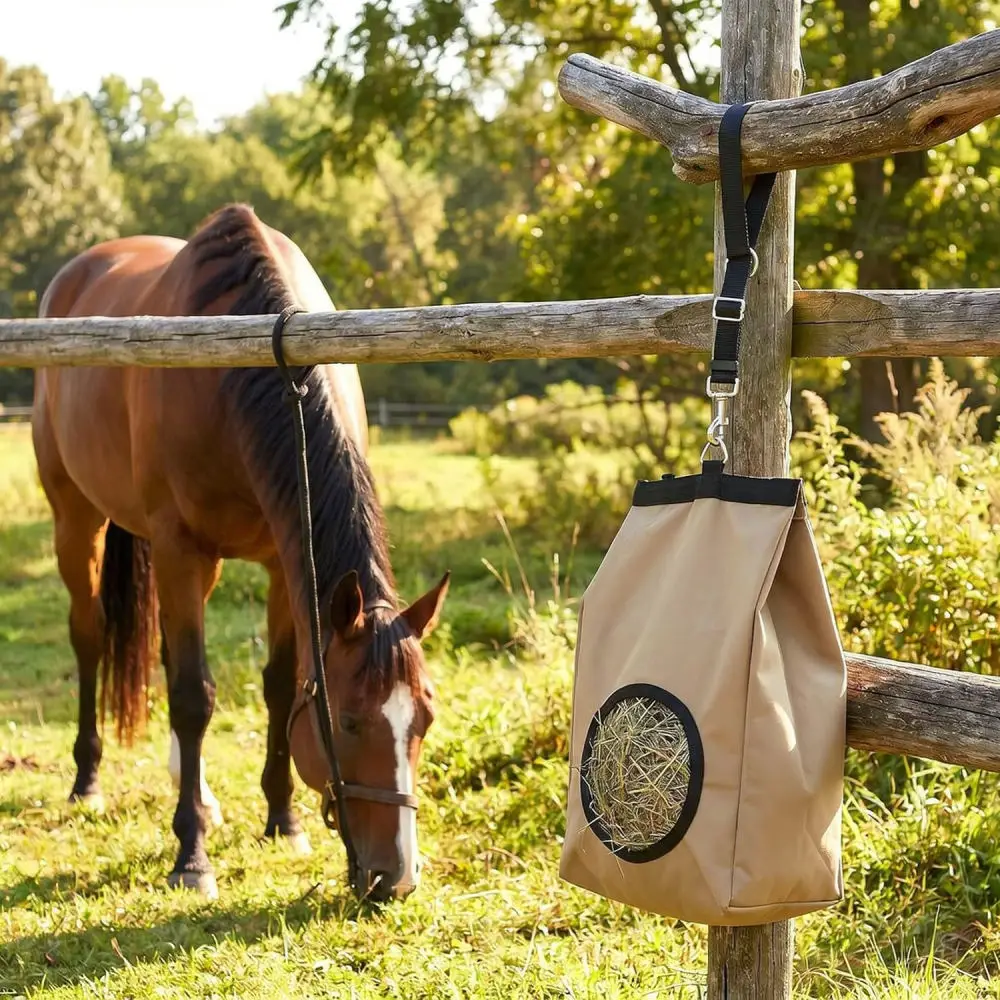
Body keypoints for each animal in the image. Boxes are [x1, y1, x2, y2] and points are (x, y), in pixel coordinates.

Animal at [31, 203, 449, 902]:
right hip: (79, 521)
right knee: (90, 638)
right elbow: (193, 696)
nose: (395, 878)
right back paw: (87, 781)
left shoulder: (285, 560)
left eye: (423, 719)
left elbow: (278, 686)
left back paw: (194, 788)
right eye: (351, 723)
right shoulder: (181, 548)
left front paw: (283, 820)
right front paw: (192, 857)